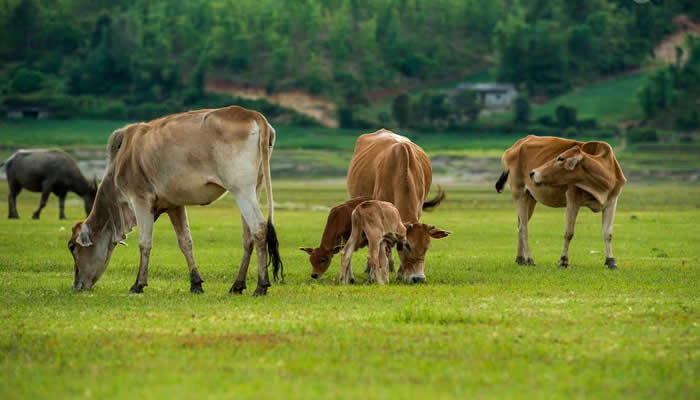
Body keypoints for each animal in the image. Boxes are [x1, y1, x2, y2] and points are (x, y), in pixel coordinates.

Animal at [67, 104, 282, 296]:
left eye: (72, 247)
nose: (76, 286)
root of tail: (253, 114)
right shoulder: (174, 205)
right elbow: (185, 242)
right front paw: (196, 283)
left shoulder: (140, 199)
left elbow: (145, 242)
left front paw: (138, 284)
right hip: (254, 189)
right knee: (248, 238)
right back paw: (237, 285)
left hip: (241, 190)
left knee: (259, 228)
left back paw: (261, 285)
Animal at [494, 134, 628, 268]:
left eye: (561, 158)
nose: (532, 173)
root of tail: (515, 146)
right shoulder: (572, 200)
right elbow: (569, 233)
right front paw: (563, 260)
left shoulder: (611, 202)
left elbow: (608, 233)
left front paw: (611, 261)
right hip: (519, 193)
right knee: (523, 228)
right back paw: (529, 259)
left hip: (530, 198)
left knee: (520, 225)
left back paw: (520, 259)